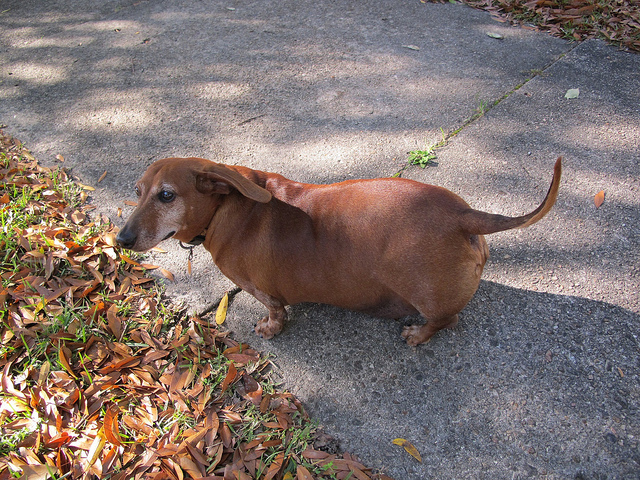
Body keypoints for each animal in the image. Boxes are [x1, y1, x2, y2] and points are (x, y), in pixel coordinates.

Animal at [116, 157, 560, 344]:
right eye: (136, 191)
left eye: (167, 195)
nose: (120, 240)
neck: (228, 207)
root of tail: (466, 216)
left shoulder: (264, 292)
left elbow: (276, 311)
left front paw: (270, 328)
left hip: (427, 296)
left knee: (446, 321)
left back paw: (417, 334)